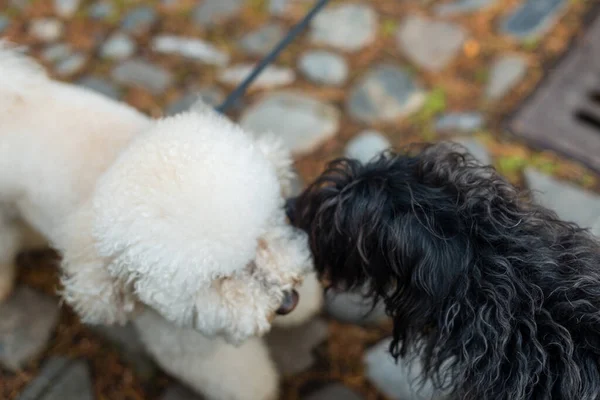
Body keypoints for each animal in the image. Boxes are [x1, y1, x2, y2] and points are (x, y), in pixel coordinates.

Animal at [0, 43, 324, 400]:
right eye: (219, 278)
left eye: (263, 237)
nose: (288, 301)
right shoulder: (182, 340)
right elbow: (234, 375)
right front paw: (263, 388)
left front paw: (307, 305)